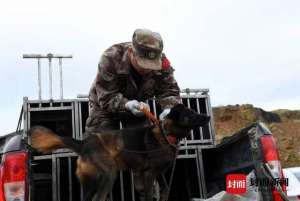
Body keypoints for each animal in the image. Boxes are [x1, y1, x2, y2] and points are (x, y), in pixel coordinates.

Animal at [29, 103, 209, 201]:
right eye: (191, 113)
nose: (207, 116)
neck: (166, 134)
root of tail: (84, 143)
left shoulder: (158, 173)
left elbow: (165, 190)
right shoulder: (149, 174)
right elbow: (150, 195)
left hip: (91, 183)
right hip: (108, 174)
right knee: (99, 198)